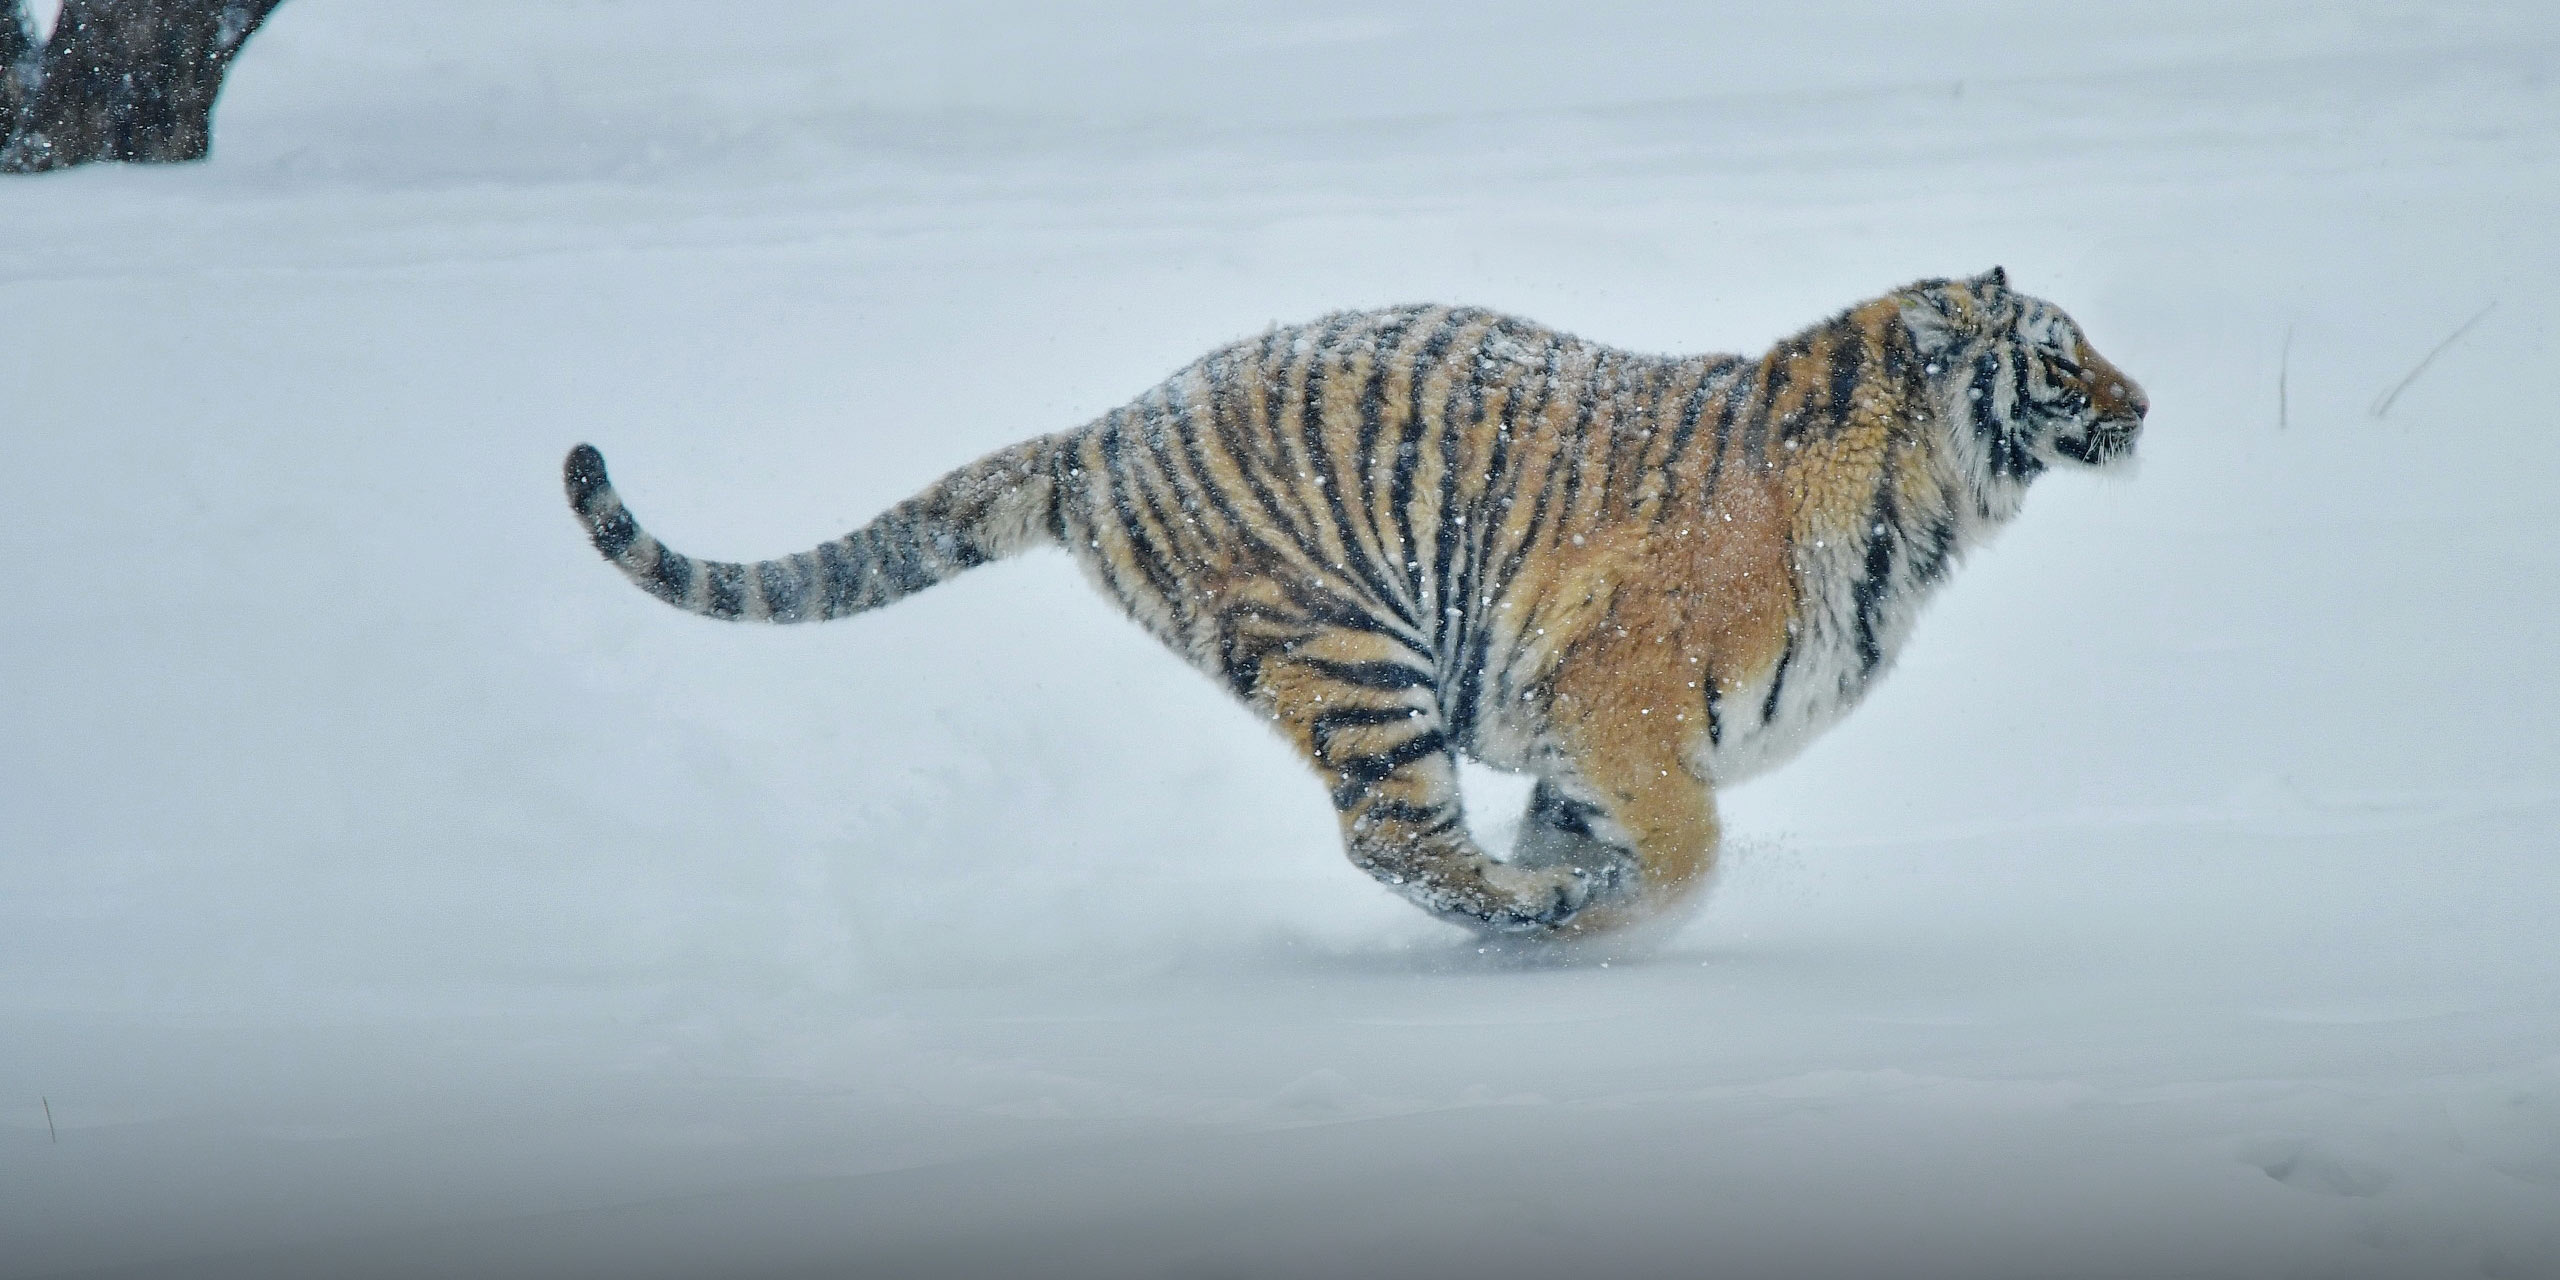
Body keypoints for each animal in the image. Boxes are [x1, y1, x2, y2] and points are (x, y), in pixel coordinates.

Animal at [560, 264, 2140, 936]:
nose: (2142, 403)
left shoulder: (1584, 742)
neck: (1918, 505)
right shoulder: (1618, 699)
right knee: (1395, 840)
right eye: (2060, 356)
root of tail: (1102, 432)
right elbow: (1686, 857)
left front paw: (1594, 908)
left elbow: (1608, 832)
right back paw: (1530, 909)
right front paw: (1618, 924)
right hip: (1355, 653)